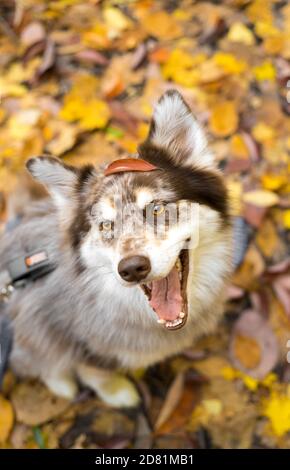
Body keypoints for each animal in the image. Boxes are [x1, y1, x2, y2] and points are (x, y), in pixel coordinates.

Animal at [0, 92, 231, 408]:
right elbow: (95, 371)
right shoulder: (70, 337)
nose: (132, 268)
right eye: (106, 225)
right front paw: (118, 393)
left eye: (156, 209)